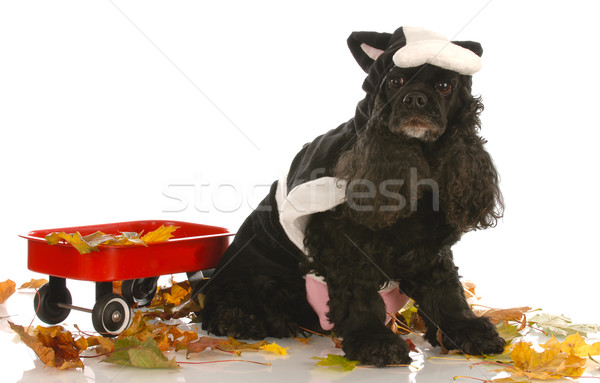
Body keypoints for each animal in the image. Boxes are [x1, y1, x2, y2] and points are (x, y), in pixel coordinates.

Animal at [202, 25, 506, 368]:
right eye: (395, 81)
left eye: (444, 86)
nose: (415, 99)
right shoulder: (344, 245)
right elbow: (359, 295)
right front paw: (374, 342)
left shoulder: (429, 249)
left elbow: (447, 291)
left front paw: (468, 331)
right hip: (255, 275)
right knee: (222, 304)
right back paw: (242, 321)